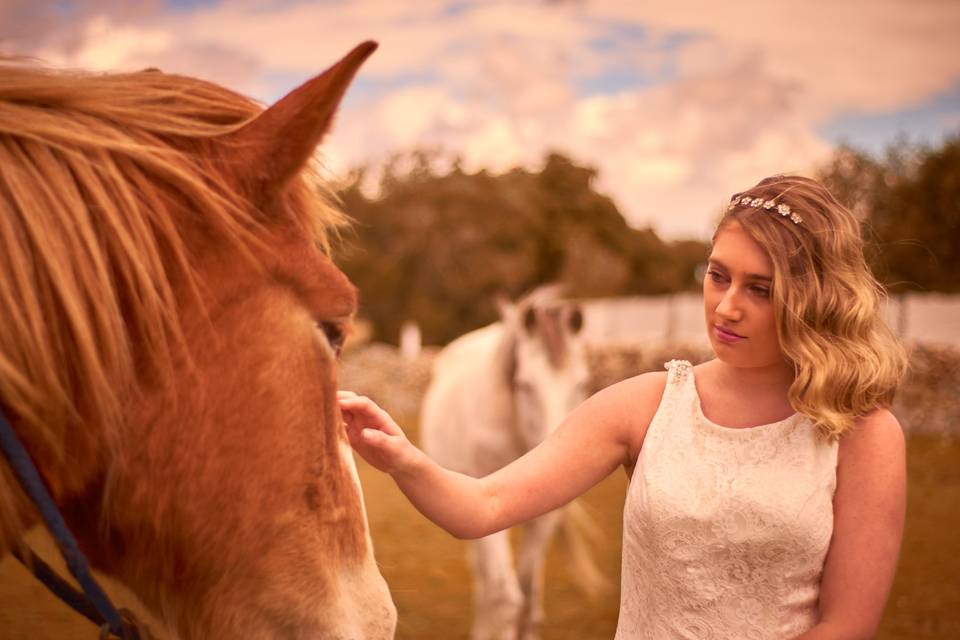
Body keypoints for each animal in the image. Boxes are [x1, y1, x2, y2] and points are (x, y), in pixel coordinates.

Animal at [418, 288, 600, 640]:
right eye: (523, 385)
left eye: (582, 384)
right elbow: (506, 599)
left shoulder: (545, 517)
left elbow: (527, 598)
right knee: (485, 577)